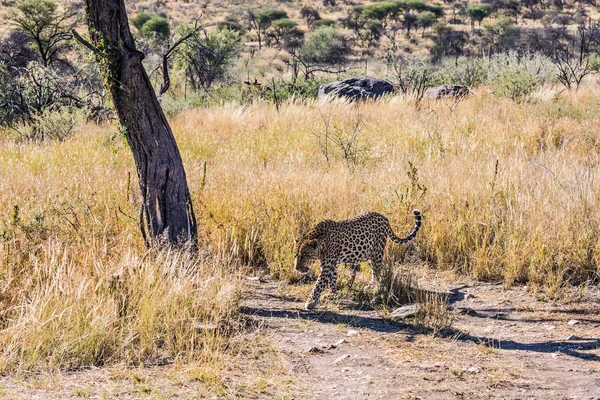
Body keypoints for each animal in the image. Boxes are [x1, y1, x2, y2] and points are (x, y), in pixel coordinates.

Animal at [294, 209, 422, 310]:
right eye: (295, 256)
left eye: (303, 256)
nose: (296, 268)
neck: (321, 242)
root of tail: (384, 217)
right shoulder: (330, 265)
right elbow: (332, 279)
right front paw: (331, 293)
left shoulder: (327, 265)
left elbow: (319, 284)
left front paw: (310, 301)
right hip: (370, 254)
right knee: (375, 271)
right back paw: (370, 285)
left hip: (377, 252)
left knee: (379, 270)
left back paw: (376, 288)